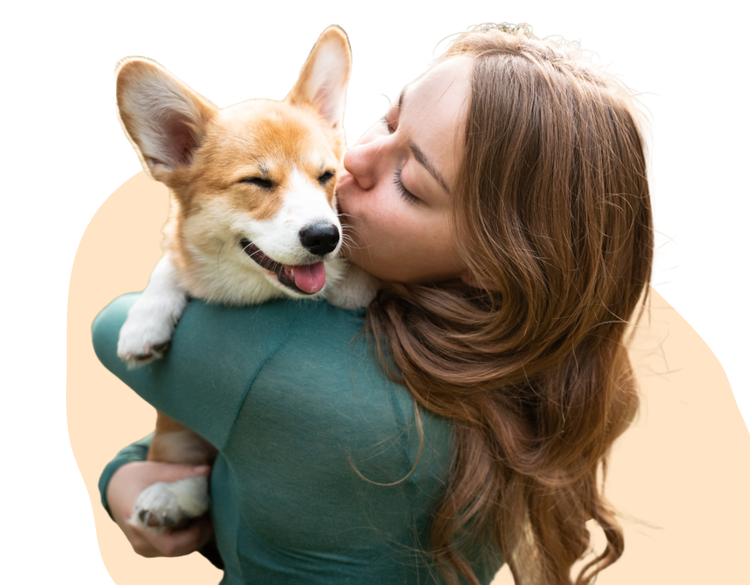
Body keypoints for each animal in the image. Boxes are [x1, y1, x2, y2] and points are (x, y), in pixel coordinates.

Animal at [111, 25, 378, 532]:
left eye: (326, 176)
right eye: (257, 182)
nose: (325, 237)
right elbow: (171, 263)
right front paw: (144, 324)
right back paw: (169, 499)